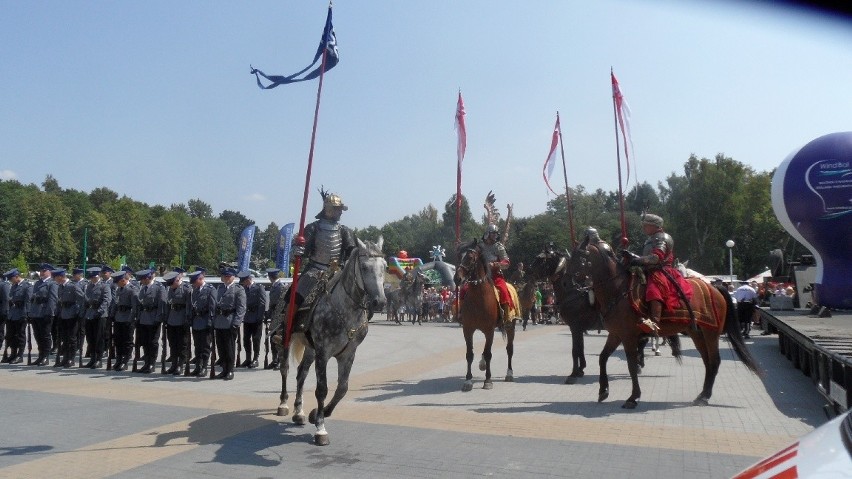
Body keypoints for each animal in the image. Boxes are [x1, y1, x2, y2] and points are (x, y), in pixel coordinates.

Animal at [564, 234, 760, 410]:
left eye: (581, 258)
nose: (570, 281)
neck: (617, 290)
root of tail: (715, 287)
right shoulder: (616, 334)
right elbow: (603, 358)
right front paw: (603, 390)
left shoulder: (628, 336)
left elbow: (631, 365)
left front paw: (633, 398)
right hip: (697, 333)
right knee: (707, 361)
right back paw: (702, 395)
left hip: (711, 333)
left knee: (714, 361)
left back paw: (705, 397)